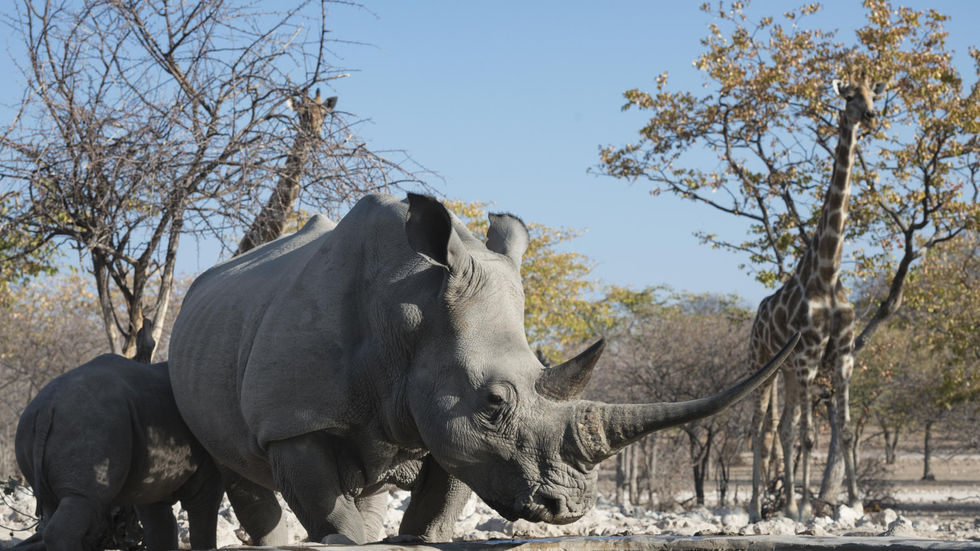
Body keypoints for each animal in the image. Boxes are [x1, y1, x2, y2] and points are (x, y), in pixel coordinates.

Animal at [168, 193, 798, 544]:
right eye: (495, 403)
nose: (569, 508)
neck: (408, 312)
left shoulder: (451, 422)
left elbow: (435, 509)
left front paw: (413, 536)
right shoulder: (293, 421)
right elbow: (328, 514)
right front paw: (339, 536)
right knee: (239, 472)